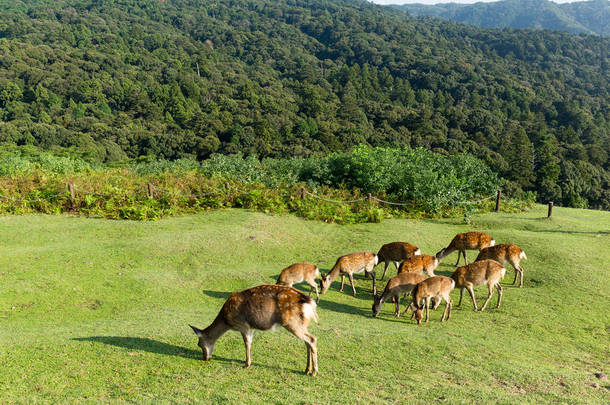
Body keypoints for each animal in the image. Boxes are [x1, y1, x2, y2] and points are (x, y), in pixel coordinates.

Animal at [189, 284, 318, 376]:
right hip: (302, 323)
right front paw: (247, 362)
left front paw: (246, 364)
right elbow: (250, 343)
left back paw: (314, 372)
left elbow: (246, 343)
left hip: (291, 322)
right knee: (307, 341)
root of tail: (309, 302)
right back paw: (307, 369)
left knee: (312, 339)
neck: (226, 320)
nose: (205, 358)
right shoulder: (251, 328)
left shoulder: (243, 325)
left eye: (199, 344)